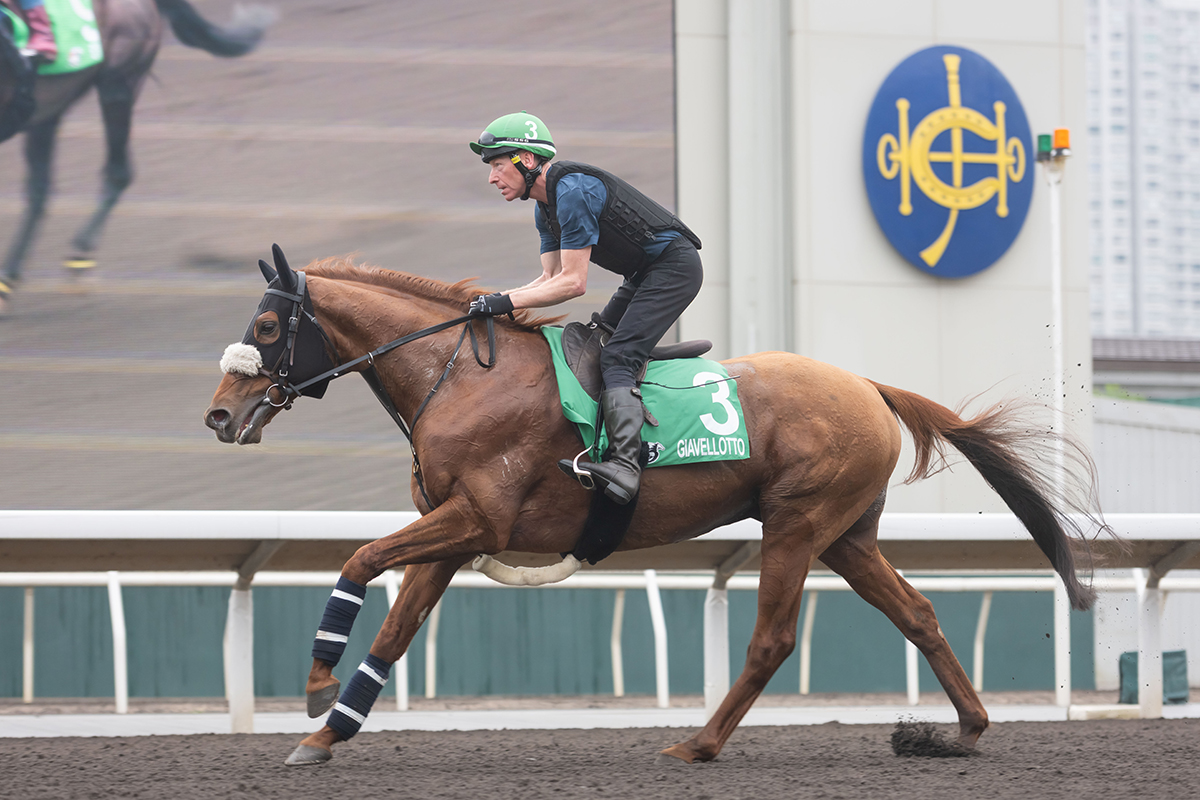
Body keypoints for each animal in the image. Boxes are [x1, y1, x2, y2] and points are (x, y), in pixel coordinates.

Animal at [204, 247, 1105, 766]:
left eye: (269, 325)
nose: (217, 415)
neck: (457, 375)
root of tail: (868, 385)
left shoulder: (477, 519)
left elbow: (359, 560)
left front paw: (317, 682)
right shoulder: (453, 535)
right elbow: (394, 632)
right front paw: (325, 736)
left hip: (797, 521)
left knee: (774, 638)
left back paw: (699, 744)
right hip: (847, 533)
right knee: (917, 613)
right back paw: (966, 729)